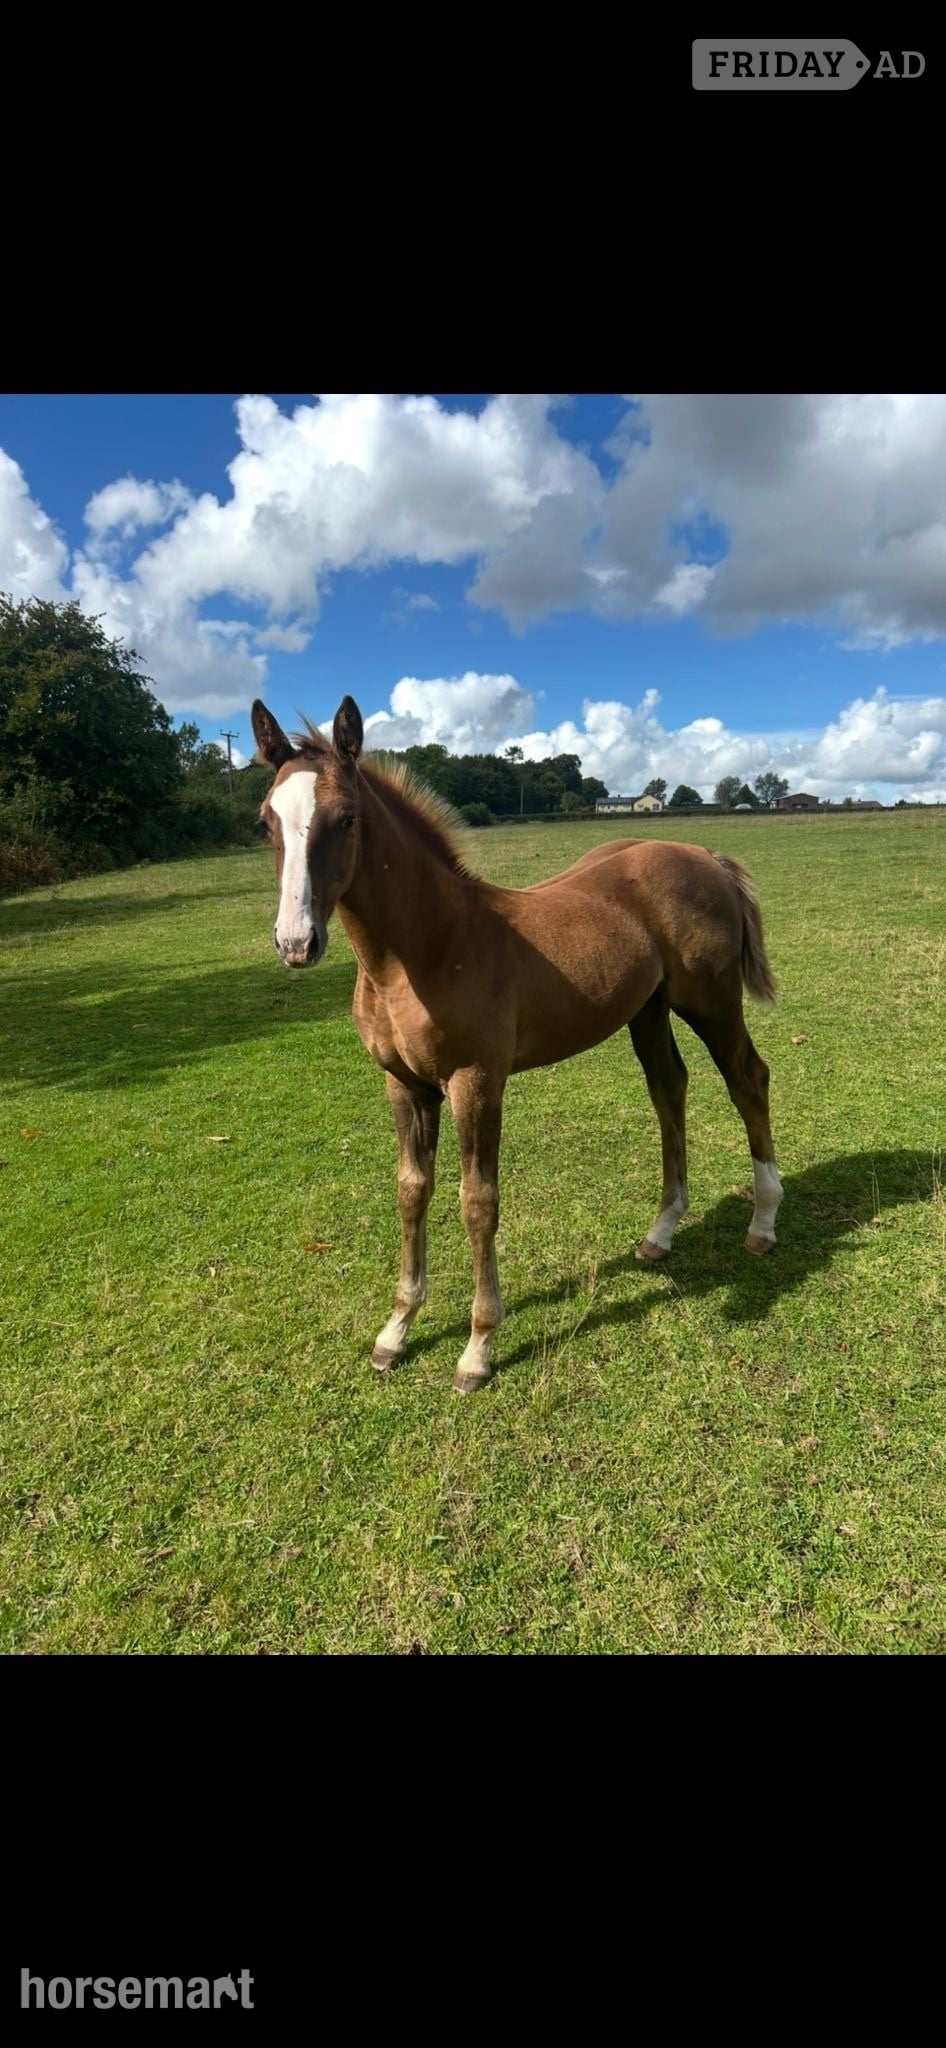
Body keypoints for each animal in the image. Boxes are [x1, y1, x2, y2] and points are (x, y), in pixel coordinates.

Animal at [252, 694, 783, 1393]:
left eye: (346, 818)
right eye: (265, 822)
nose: (296, 943)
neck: (427, 947)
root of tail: (703, 854)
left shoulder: (476, 1081)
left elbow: (477, 1201)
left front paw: (478, 1347)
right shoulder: (404, 1084)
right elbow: (411, 1190)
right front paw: (396, 1331)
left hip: (712, 1003)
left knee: (748, 1079)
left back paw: (763, 1222)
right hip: (648, 1011)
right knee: (669, 1088)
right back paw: (662, 1232)